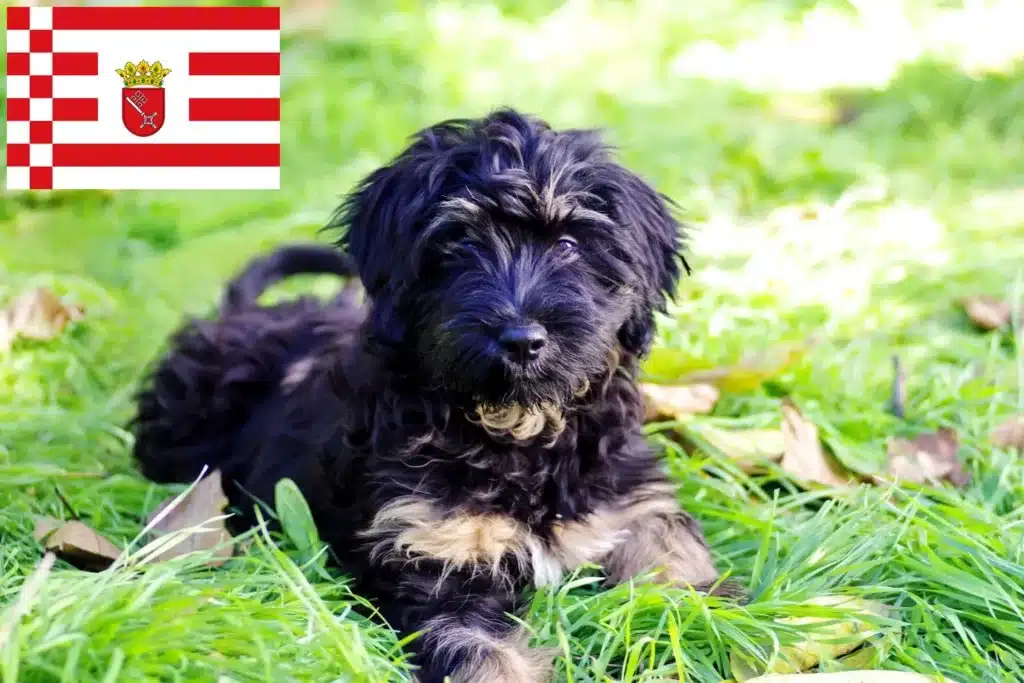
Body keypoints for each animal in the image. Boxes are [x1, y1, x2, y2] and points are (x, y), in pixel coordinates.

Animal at [138, 109, 745, 679]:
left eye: (569, 245)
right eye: (459, 245)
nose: (521, 339)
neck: (516, 432)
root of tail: (242, 314)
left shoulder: (631, 504)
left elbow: (673, 561)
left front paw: (707, 621)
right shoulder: (431, 553)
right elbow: (478, 650)